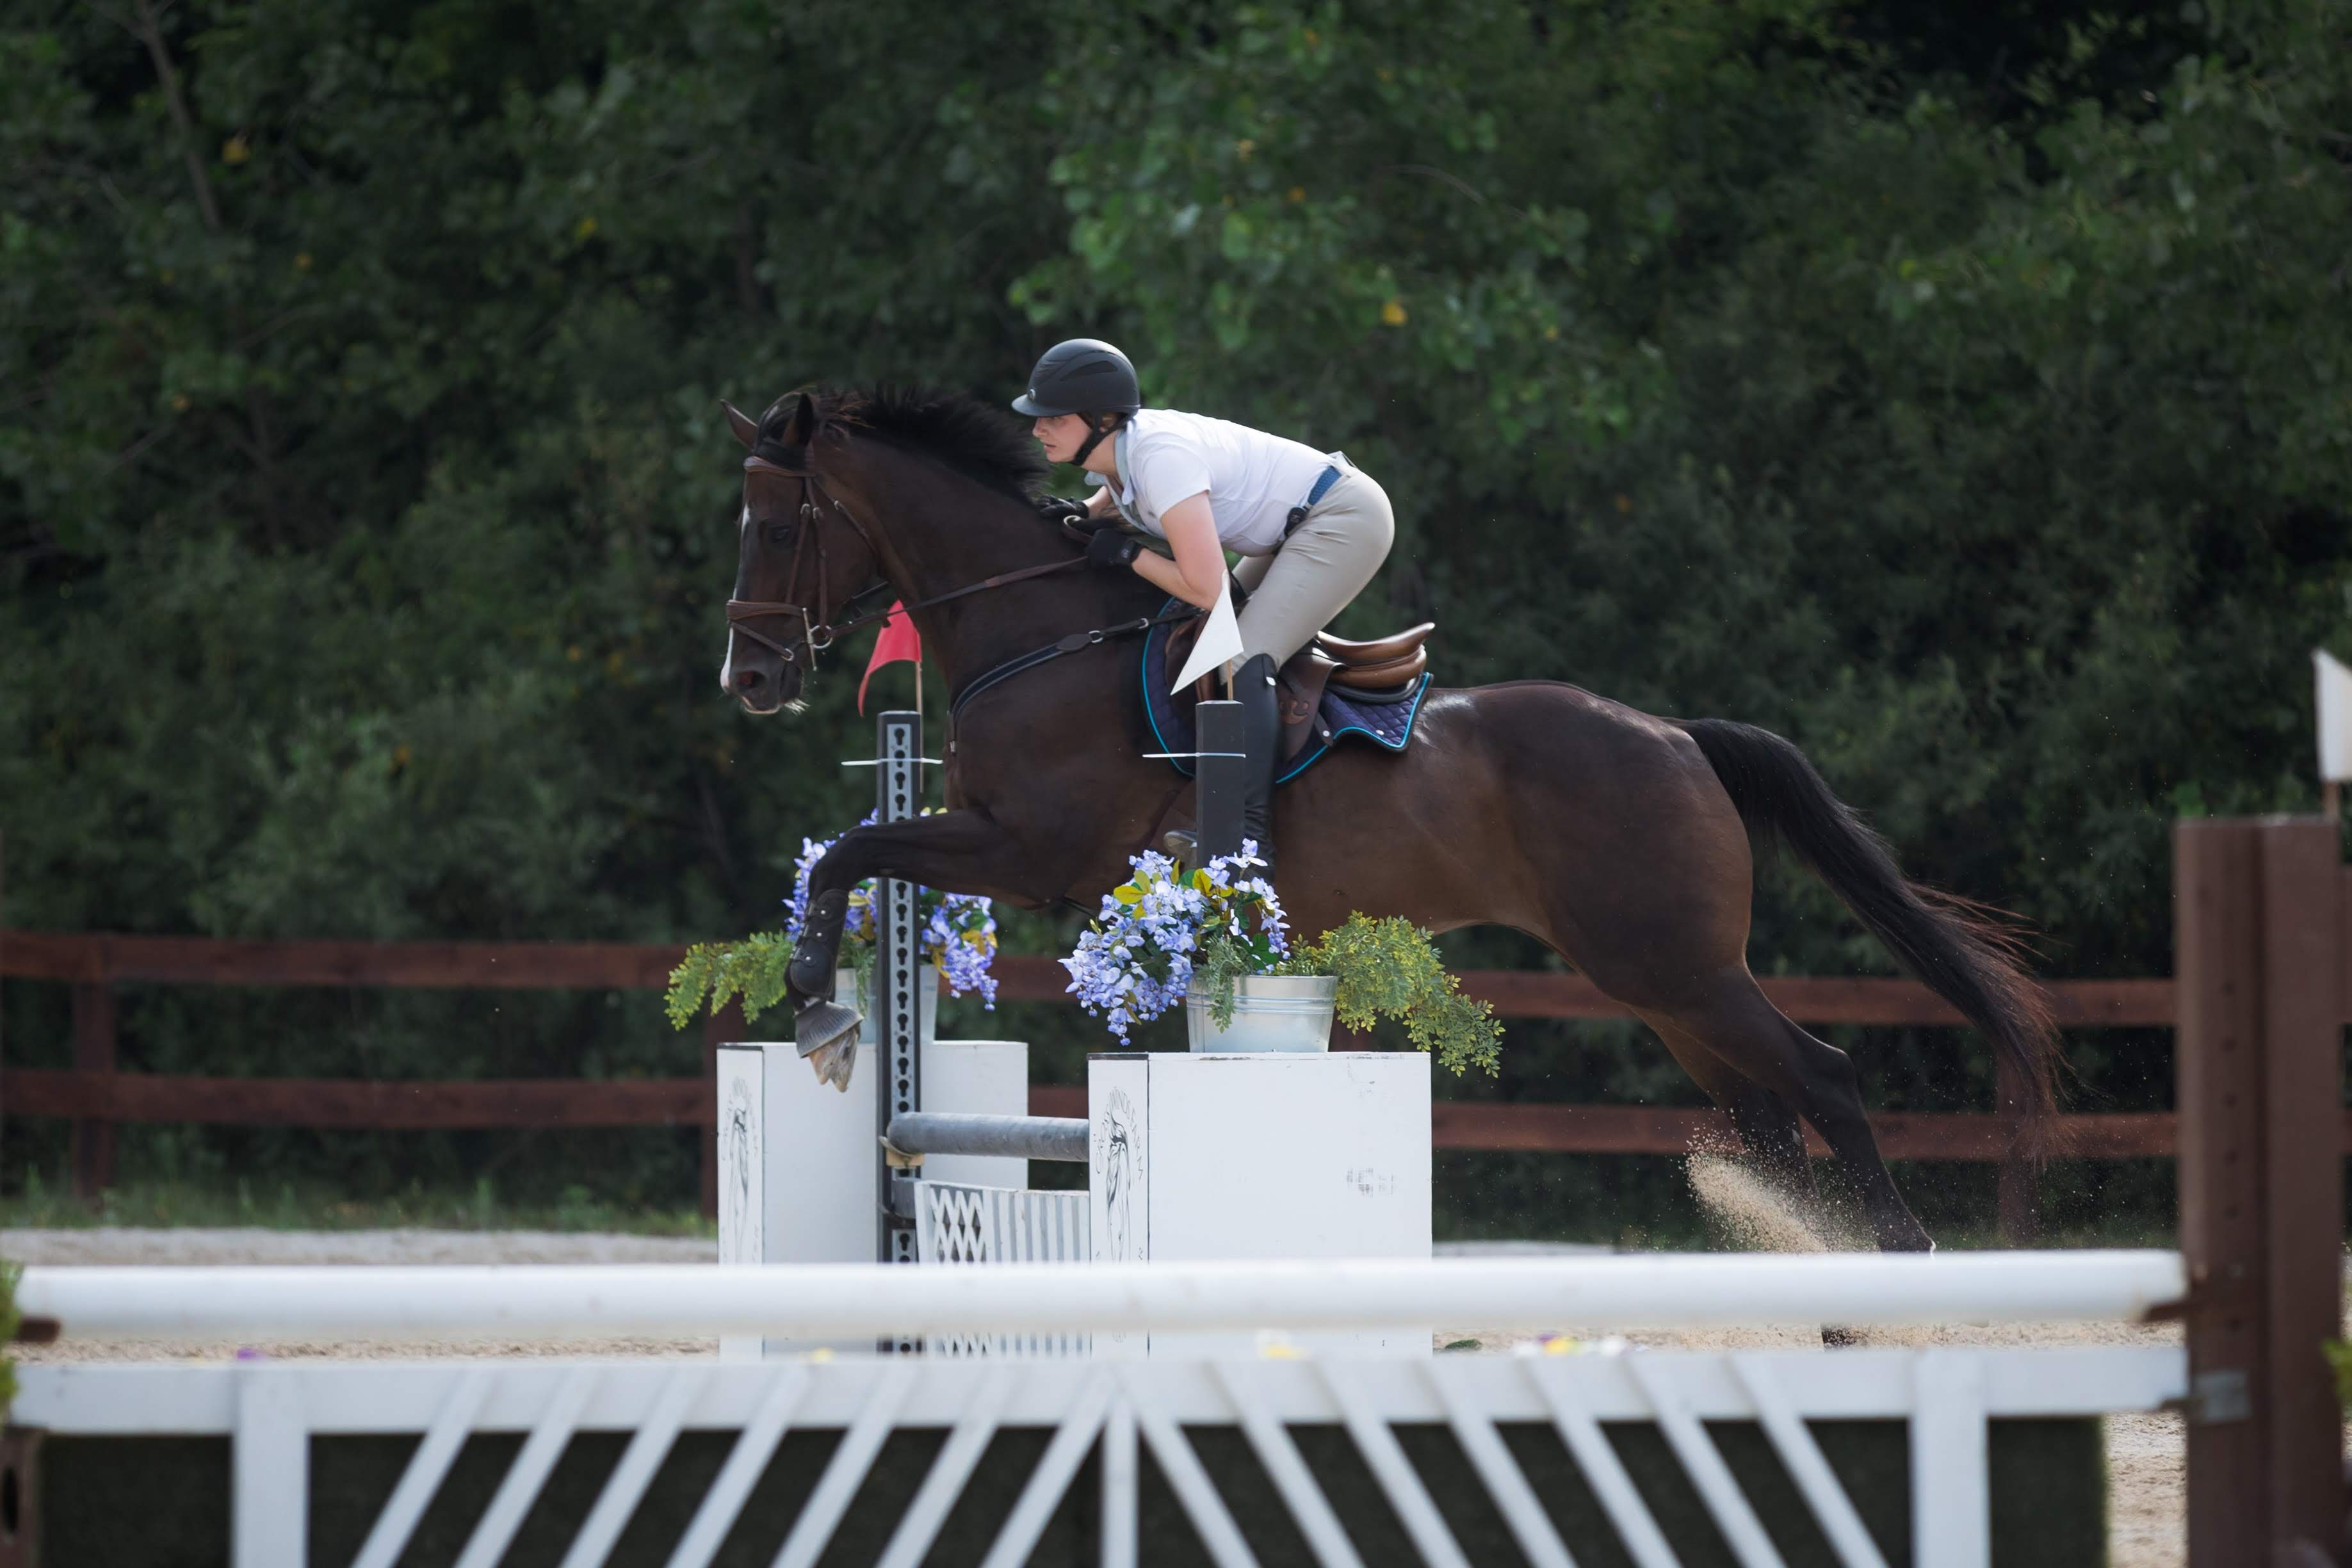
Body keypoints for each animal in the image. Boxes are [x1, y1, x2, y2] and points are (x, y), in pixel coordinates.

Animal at [719, 385, 2060, 1260]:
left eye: (777, 526)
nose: (750, 678)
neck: (1037, 627)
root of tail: (1679, 737)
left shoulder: (1026, 847)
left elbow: (851, 854)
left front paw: (821, 1007)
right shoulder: (994, 838)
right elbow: (854, 855)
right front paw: (827, 1000)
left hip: (1674, 964)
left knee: (1823, 1078)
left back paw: (1893, 1258)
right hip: (1664, 983)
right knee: (1773, 1116)